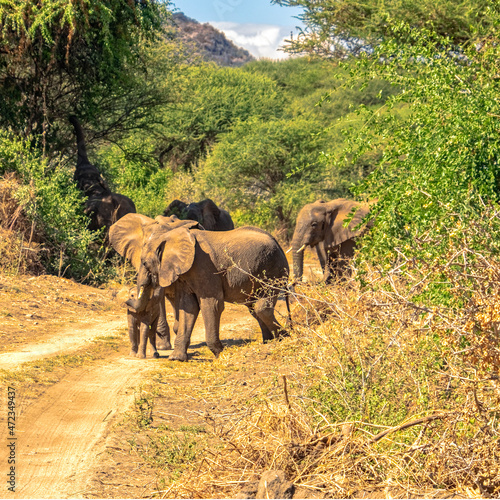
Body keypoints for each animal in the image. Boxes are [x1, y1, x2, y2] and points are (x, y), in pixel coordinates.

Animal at [109, 213, 290, 362]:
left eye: (145, 263)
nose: (127, 299)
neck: (170, 238)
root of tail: (278, 243)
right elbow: (188, 307)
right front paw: (176, 358)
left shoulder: (205, 267)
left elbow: (211, 304)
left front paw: (220, 354)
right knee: (253, 308)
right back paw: (269, 341)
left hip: (273, 269)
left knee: (261, 307)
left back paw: (285, 337)